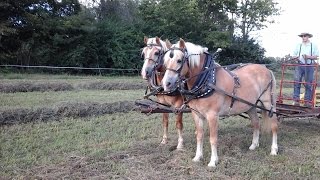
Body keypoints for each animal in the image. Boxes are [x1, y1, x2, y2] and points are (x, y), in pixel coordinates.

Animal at [161, 39, 278, 167]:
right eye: (165, 62)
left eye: (179, 60)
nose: (166, 84)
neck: (206, 80)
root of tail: (267, 69)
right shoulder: (196, 114)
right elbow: (199, 135)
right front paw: (198, 157)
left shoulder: (212, 115)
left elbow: (213, 138)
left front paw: (213, 161)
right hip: (250, 106)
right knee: (256, 123)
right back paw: (254, 145)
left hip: (268, 104)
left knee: (274, 125)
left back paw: (274, 150)